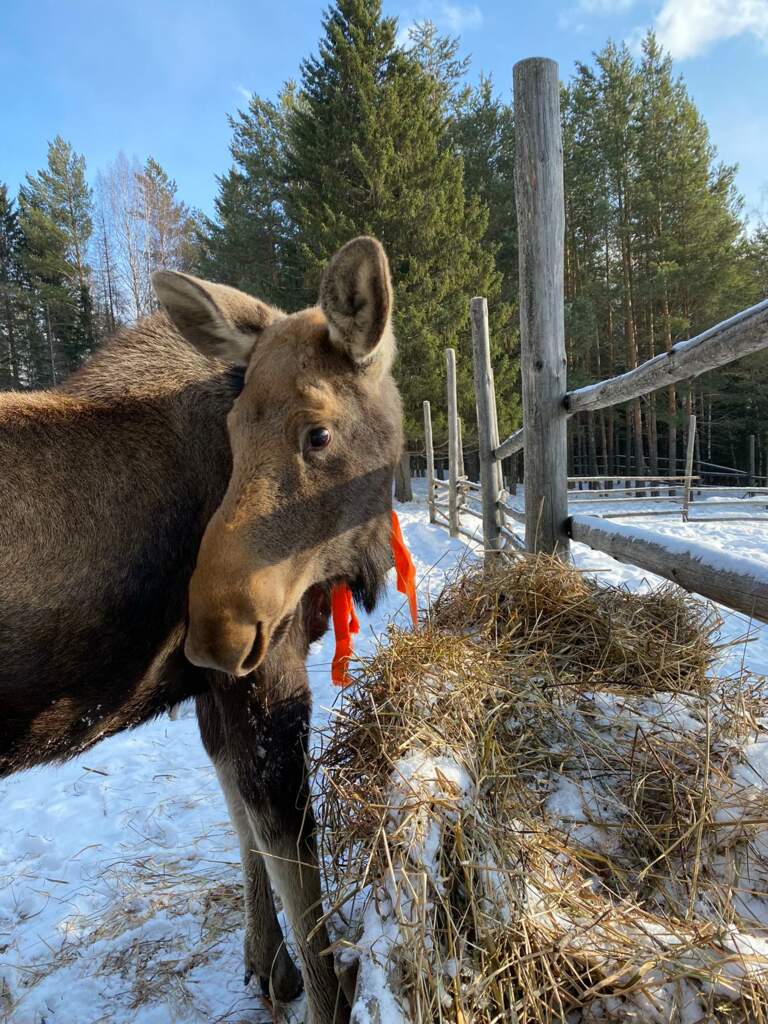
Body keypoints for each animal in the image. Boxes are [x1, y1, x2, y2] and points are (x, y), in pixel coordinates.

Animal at [0, 237, 405, 1024]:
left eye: (318, 432)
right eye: (234, 435)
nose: (215, 629)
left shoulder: (213, 685)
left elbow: (242, 820)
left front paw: (268, 964)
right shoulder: (268, 673)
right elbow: (292, 860)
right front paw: (320, 990)